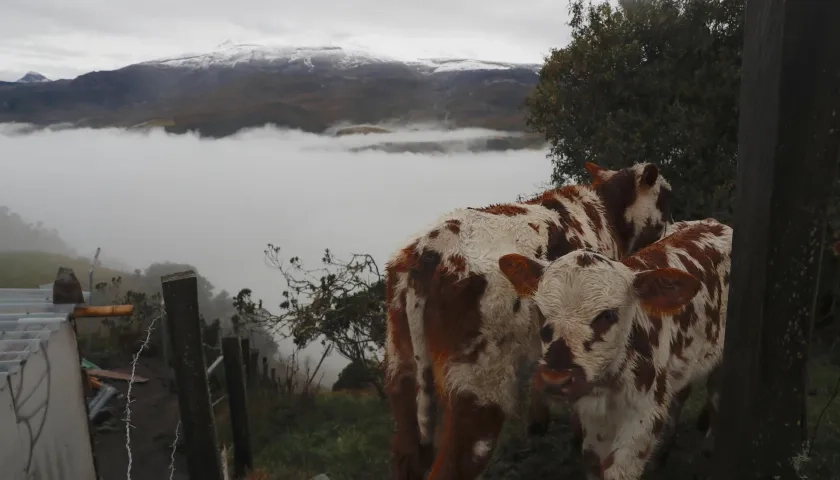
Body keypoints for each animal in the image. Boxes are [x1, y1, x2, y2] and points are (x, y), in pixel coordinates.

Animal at [384, 162, 672, 480]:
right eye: (665, 198)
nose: (670, 227)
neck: (604, 211)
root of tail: (432, 250)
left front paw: (538, 422)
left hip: (402, 368)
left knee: (407, 453)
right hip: (480, 387)